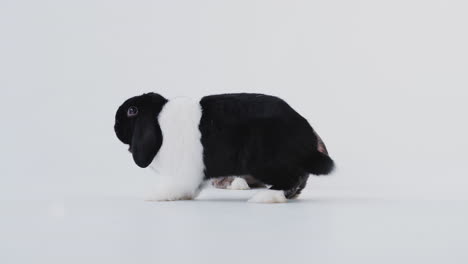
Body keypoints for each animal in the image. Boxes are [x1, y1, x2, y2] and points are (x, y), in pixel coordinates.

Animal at [114, 92, 334, 203]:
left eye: (132, 111)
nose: (114, 124)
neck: (159, 120)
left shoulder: (182, 172)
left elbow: (177, 187)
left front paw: (156, 195)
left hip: (265, 162)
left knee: (290, 180)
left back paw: (264, 197)